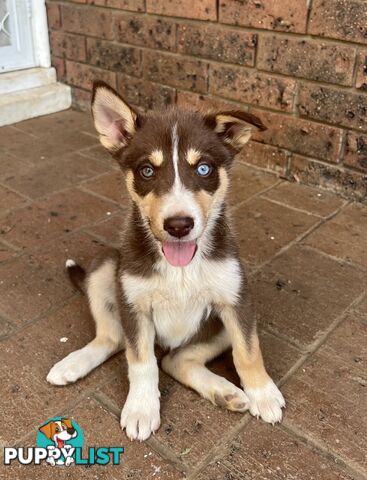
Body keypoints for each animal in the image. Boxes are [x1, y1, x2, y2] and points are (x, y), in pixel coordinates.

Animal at [46, 80, 286, 440]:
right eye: (147, 170)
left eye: (204, 168)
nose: (179, 225)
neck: (181, 268)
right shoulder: (134, 306)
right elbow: (141, 362)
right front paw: (141, 409)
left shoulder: (237, 300)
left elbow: (248, 350)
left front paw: (263, 393)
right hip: (107, 266)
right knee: (115, 339)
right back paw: (72, 364)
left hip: (215, 326)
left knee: (175, 361)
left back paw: (225, 392)